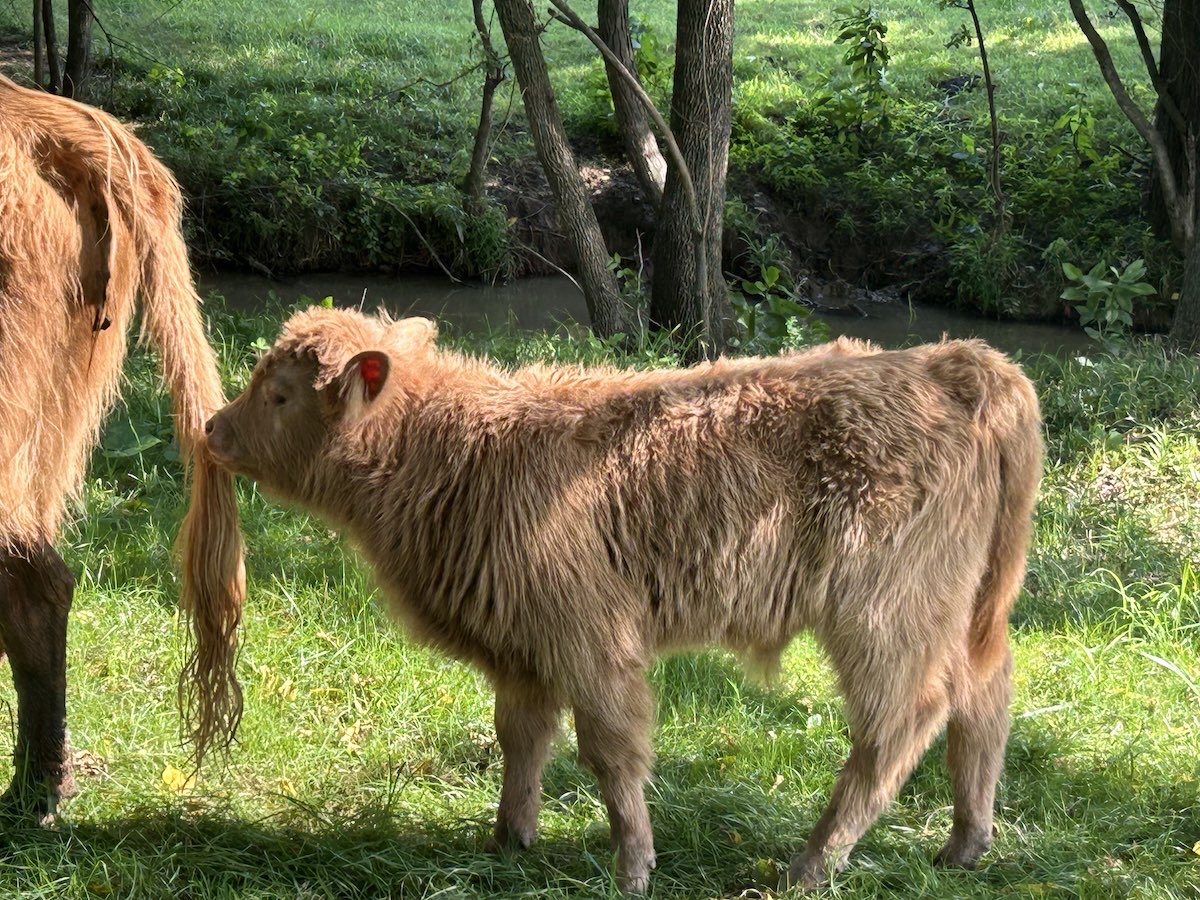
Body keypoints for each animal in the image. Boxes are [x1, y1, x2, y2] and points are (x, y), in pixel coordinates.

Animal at [204, 307, 1043, 892]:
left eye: (278, 394)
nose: (212, 427)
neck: (459, 452)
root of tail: (956, 361)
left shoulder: (591, 640)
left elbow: (612, 751)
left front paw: (633, 866)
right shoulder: (522, 651)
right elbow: (522, 739)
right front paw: (508, 841)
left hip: (884, 615)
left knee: (903, 723)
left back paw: (812, 864)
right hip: (961, 612)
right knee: (984, 694)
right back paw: (966, 844)